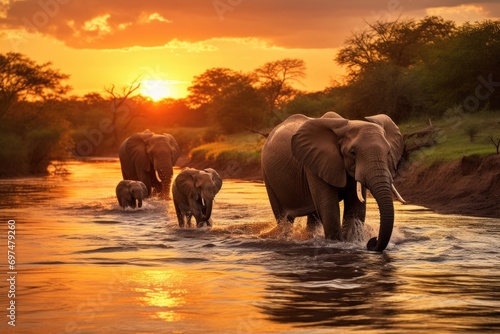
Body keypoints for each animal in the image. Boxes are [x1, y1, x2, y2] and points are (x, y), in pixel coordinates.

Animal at [262, 111, 406, 252]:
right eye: (353, 153)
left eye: (388, 153)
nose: (373, 241)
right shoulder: (315, 164)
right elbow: (329, 208)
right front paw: (336, 243)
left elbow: (356, 207)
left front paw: (352, 241)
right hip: (267, 175)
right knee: (284, 218)